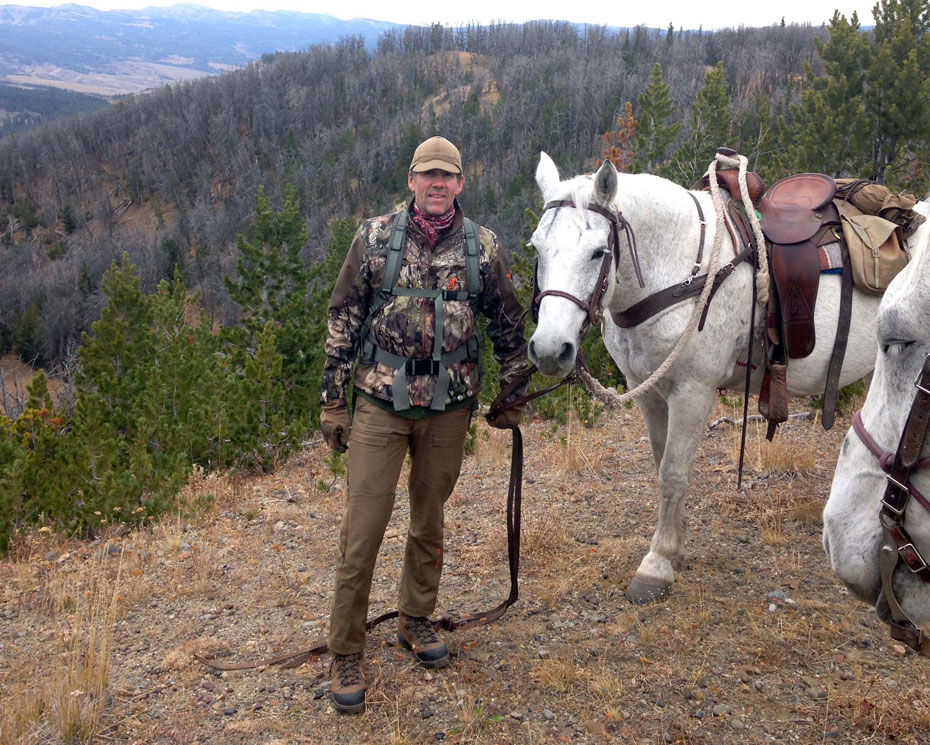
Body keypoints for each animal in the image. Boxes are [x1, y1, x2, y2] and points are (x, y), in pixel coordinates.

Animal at [528, 154, 884, 600]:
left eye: (598, 252)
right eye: (536, 248)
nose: (549, 349)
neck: (678, 272)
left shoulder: (693, 391)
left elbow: (673, 473)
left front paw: (657, 564)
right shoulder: (646, 391)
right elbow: (662, 464)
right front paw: (675, 546)